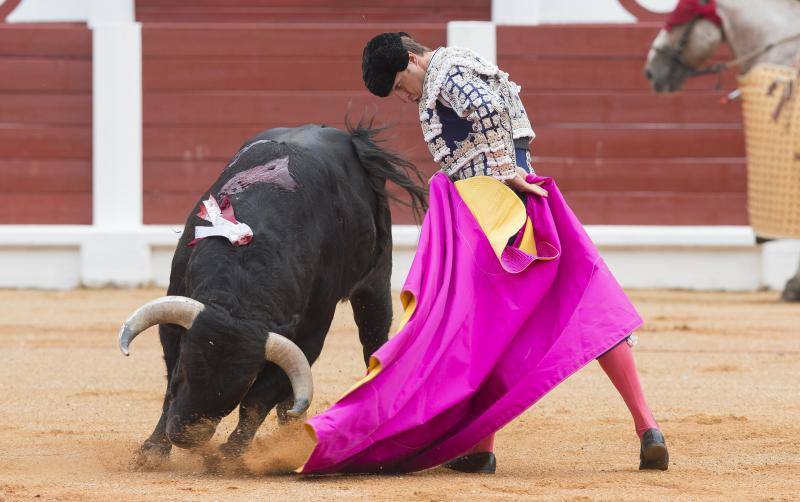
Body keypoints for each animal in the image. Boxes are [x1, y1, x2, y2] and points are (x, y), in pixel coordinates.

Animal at [116, 122, 428, 462]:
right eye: (185, 371)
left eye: (240, 385)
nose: (187, 437)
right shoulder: (176, 319)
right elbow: (169, 389)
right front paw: (153, 451)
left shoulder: (309, 335)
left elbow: (257, 401)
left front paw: (230, 457)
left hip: (376, 281)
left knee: (373, 338)